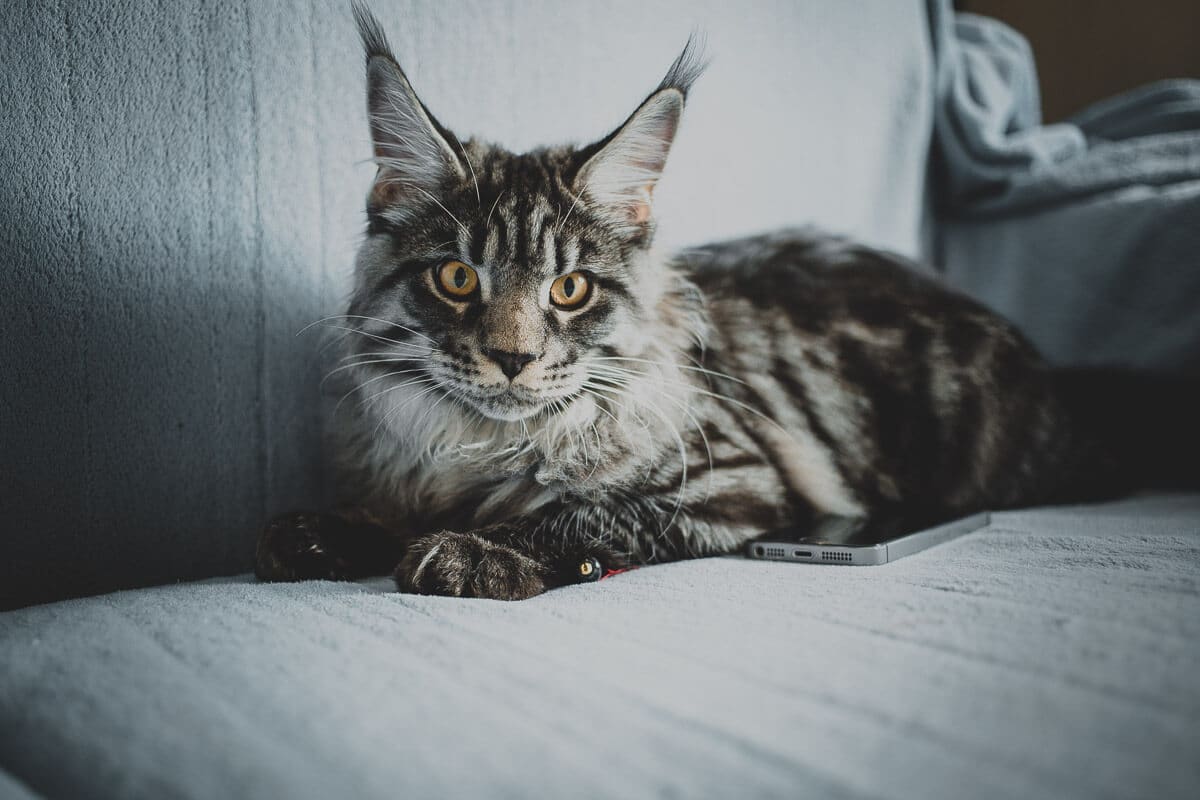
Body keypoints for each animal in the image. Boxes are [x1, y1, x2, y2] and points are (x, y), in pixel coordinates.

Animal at [253, 1, 1123, 599]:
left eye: (570, 289)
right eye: (458, 279)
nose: (513, 358)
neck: (481, 445)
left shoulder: (730, 478)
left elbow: (576, 512)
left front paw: (475, 550)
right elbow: (392, 512)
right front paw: (323, 534)